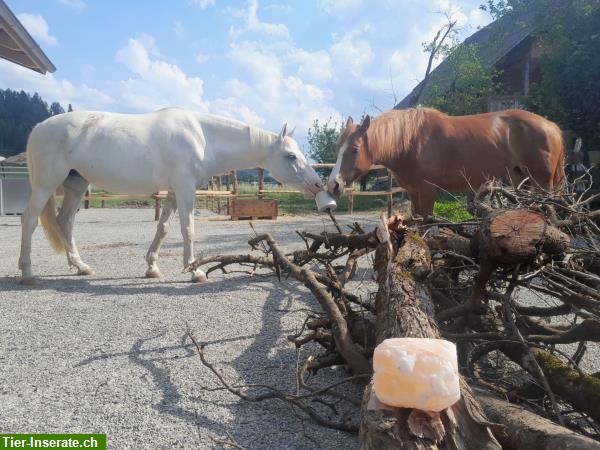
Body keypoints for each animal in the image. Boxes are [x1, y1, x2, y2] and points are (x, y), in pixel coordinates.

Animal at [17, 107, 324, 284]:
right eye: (291, 156)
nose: (317, 185)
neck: (202, 136)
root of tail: (38, 128)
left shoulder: (175, 191)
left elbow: (163, 227)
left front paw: (152, 267)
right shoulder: (185, 188)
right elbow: (187, 229)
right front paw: (194, 271)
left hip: (76, 184)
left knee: (65, 222)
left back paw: (81, 267)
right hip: (46, 184)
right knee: (29, 220)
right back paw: (27, 272)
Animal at [326, 107, 564, 216]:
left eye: (355, 150)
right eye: (337, 149)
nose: (333, 185)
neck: (412, 141)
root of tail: (552, 126)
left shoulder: (428, 191)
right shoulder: (413, 192)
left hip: (542, 183)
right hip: (520, 179)